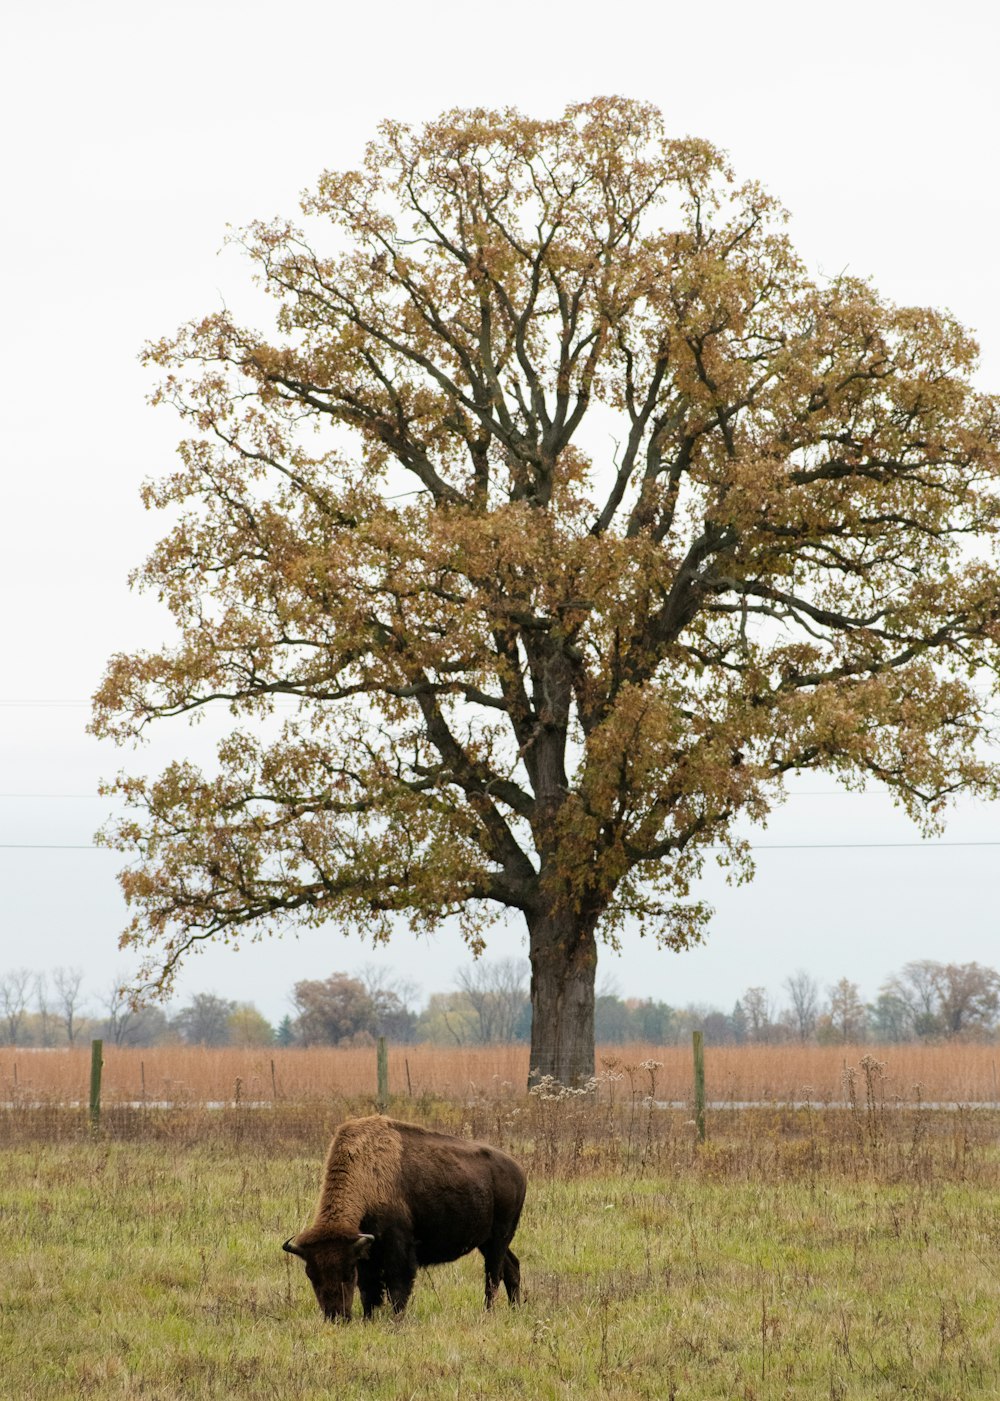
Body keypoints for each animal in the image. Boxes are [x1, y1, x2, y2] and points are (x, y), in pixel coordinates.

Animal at [280, 1109, 521, 1316]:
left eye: (348, 1272)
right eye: (311, 1274)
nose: (336, 1316)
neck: (366, 1174)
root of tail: (518, 1170)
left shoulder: (398, 1250)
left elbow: (397, 1288)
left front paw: (396, 1320)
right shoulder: (365, 1253)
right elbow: (369, 1291)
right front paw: (369, 1319)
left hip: (499, 1238)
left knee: (493, 1275)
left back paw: (489, 1312)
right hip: (487, 1242)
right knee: (511, 1267)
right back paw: (515, 1309)